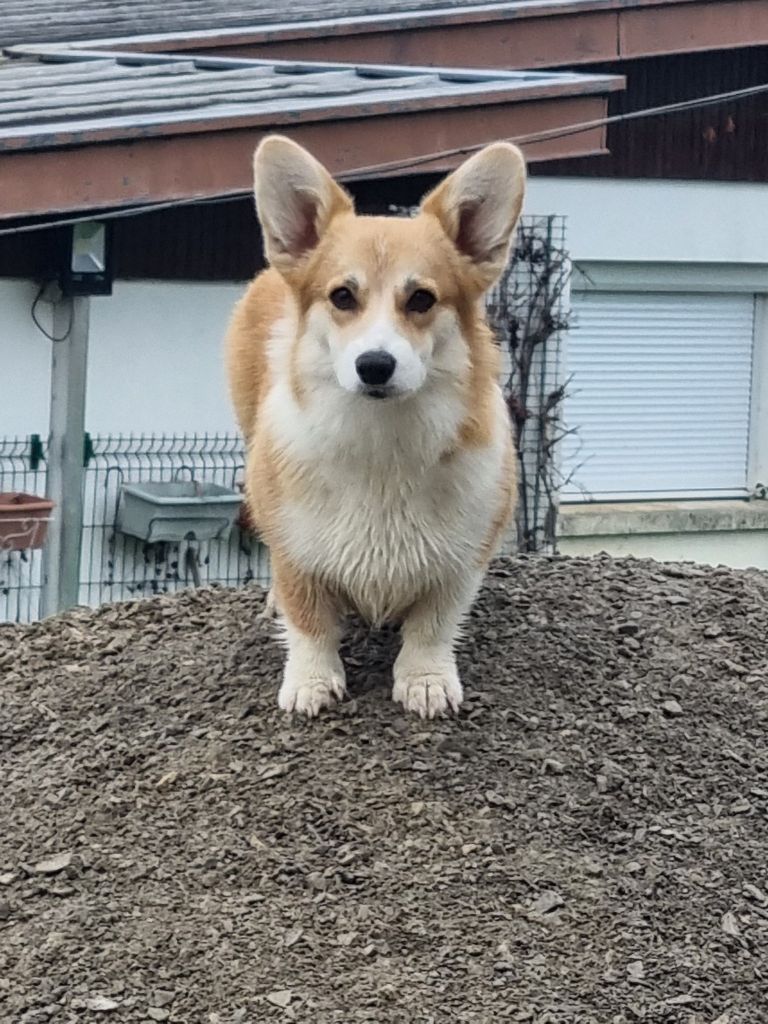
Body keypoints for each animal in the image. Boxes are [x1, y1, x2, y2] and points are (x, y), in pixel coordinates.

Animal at [228, 136, 528, 720]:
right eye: (343, 296)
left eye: (422, 299)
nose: (375, 365)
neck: (383, 441)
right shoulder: (296, 552)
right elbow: (309, 621)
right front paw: (311, 681)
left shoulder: (463, 560)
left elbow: (433, 624)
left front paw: (425, 680)